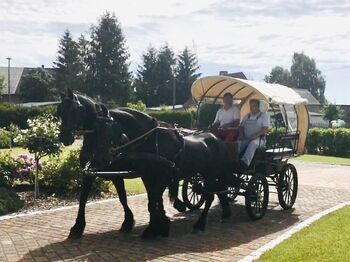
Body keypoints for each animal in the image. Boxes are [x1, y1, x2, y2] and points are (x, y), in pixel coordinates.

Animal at [57, 90, 232, 239]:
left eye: (75, 110)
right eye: (60, 111)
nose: (64, 137)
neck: (151, 141)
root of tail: (217, 139)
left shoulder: (157, 176)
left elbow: (149, 200)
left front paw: (153, 227)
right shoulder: (100, 174)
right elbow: (87, 199)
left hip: (210, 174)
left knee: (210, 196)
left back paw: (199, 224)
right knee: (219, 191)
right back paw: (224, 212)